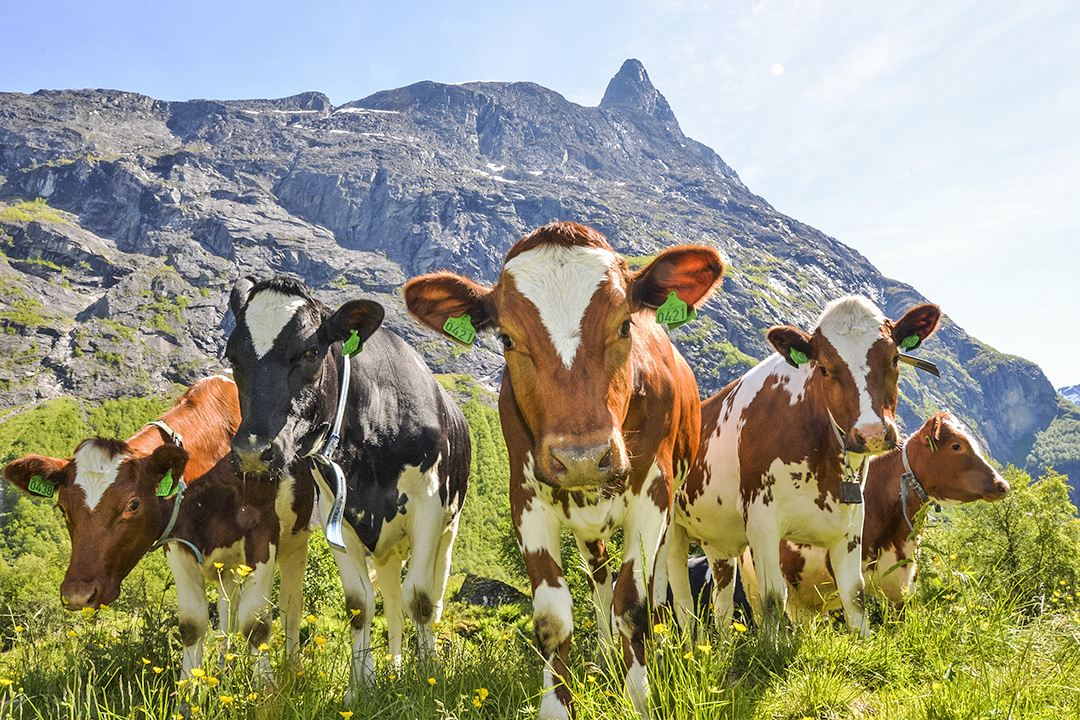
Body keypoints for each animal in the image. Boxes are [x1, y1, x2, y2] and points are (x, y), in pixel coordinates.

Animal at [1, 375, 313, 686]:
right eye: (62, 508)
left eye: (133, 504)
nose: (79, 594)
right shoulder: (178, 544)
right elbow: (192, 624)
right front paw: (188, 691)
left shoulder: (262, 535)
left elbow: (256, 623)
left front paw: (265, 690)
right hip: (229, 566)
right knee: (228, 610)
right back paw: (225, 670)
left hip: (296, 542)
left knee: (290, 606)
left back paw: (294, 668)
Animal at [225, 274, 470, 699]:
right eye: (232, 357)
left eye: (310, 351)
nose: (254, 451)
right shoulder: (335, 516)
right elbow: (360, 604)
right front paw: (362, 687)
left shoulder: (429, 507)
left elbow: (420, 598)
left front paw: (429, 679)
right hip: (387, 550)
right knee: (391, 601)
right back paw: (395, 667)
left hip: (448, 531)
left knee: (433, 598)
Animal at [406, 221, 725, 720]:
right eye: (507, 339)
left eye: (625, 325)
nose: (582, 457)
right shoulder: (527, 500)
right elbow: (554, 618)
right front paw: (559, 702)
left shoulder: (653, 493)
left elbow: (633, 605)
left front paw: (640, 696)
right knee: (599, 578)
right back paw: (607, 657)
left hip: (674, 504)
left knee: (664, 578)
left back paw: (672, 646)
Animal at [669, 293, 941, 634]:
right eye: (823, 368)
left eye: (893, 358)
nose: (872, 433)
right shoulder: (761, 520)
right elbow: (774, 598)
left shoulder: (852, 523)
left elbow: (855, 594)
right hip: (668, 532)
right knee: (680, 601)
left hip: (719, 542)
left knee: (722, 601)